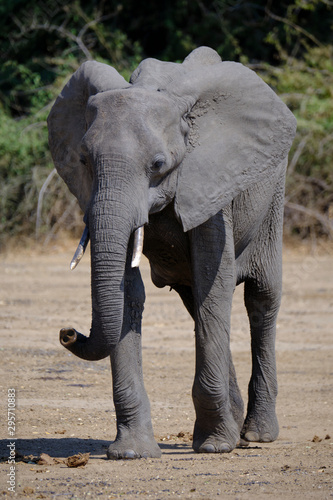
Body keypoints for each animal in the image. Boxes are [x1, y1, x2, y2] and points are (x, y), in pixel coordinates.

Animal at [46, 46, 296, 458]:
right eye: (83, 160)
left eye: (158, 165)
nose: (68, 332)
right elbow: (130, 293)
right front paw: (131, 452)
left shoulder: (211, 183)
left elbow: (215, 281)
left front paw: (215, 447)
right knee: (195, 303)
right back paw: (233, 427)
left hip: (274, 191)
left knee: (261, 297)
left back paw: (255, 435)